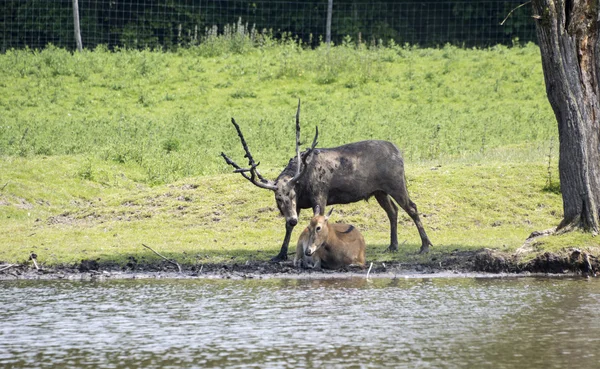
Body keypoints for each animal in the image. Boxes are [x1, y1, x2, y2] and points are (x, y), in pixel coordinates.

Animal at [220, 100, 432, 262]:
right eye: (278, 198)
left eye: (292, 194)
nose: (292, 218)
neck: (302, 183)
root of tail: (399, 152)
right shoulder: (298, 206)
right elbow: (288, 229)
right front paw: (280, 254)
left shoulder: (320, 194)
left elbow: (317, 220)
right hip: (379, 191)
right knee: (393, 211)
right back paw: (393, 245)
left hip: (396, 182)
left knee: (412, 207)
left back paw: (425, 245)